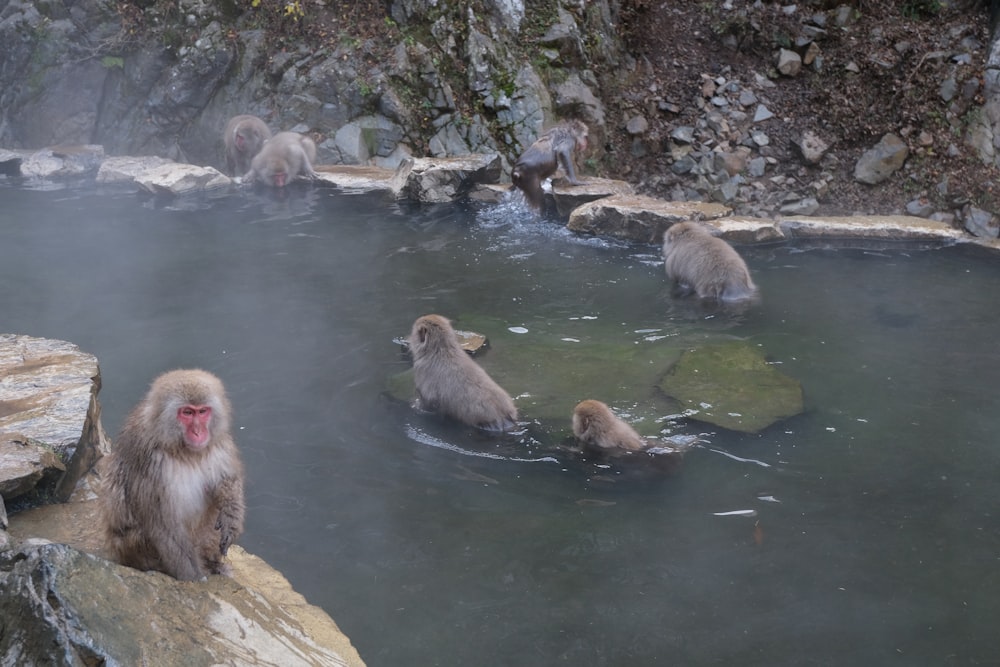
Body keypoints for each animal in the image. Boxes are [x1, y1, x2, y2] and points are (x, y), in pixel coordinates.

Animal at [99, 368, 246, 580]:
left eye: (202, 411)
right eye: (187, 412)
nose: (198, 432)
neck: (184, 451)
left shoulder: (220, 444)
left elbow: (228, 479)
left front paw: (231, 516)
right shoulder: (149, 462)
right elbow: (164, 526)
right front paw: (194, 578)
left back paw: (214, 564)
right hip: (126, 546)